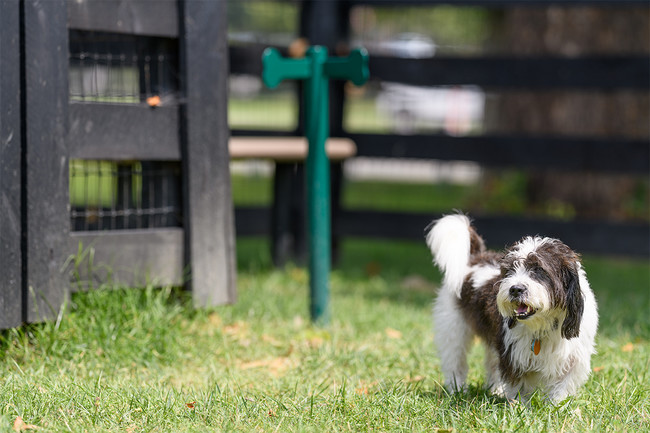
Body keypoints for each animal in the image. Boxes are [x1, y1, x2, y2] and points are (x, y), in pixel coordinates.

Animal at [426, 213, 596, 402]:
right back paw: (457, 390)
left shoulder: (572, 361)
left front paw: (555, 407)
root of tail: (476, 258)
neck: (544, 325)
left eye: (539, 269)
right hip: (453, 330)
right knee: (455, 361)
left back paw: (495, 390)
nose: (515, 289)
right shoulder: (513, 355)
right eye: (510, 270)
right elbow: (519, 387)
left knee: (491, 364)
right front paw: (518, 406)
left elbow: (560, 391)